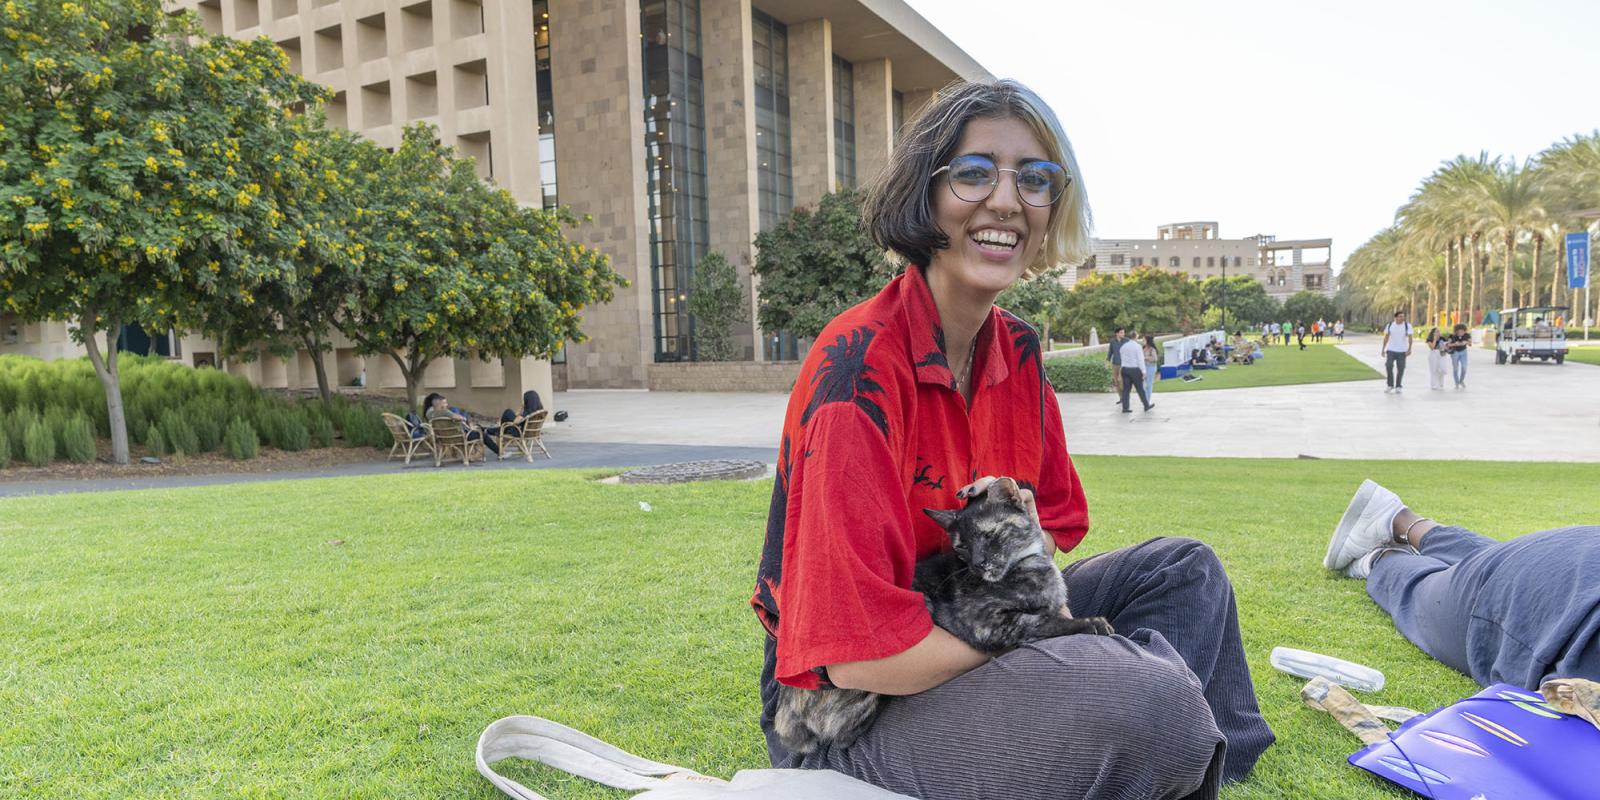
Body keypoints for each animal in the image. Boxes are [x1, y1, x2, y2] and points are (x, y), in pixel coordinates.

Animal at [774, 476, 1113, 752]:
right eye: (962, 548)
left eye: (989, 536)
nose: (977, 564)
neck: (1029, 567)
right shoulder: (988, 624)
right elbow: (1043, 621)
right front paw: (1089, 623)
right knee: (843, 736)